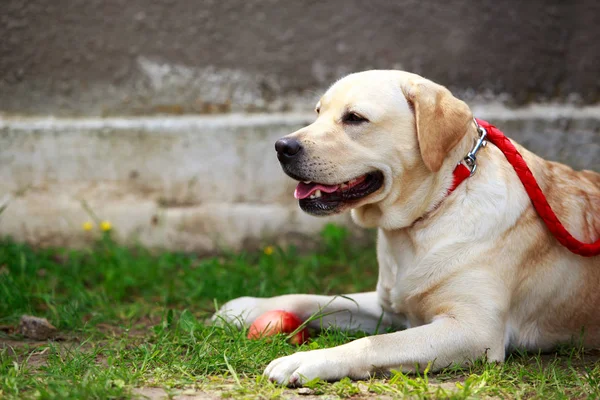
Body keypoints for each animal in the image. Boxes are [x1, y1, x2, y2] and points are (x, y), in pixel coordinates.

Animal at [213, 70, 596, 386]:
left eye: (354, 118)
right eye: (318, 112)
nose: (282, 146)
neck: (427, 216)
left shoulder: (474, 331)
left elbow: (375, 343)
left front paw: (307, 360)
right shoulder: (390, 305)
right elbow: (319, 299)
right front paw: (244, 308)